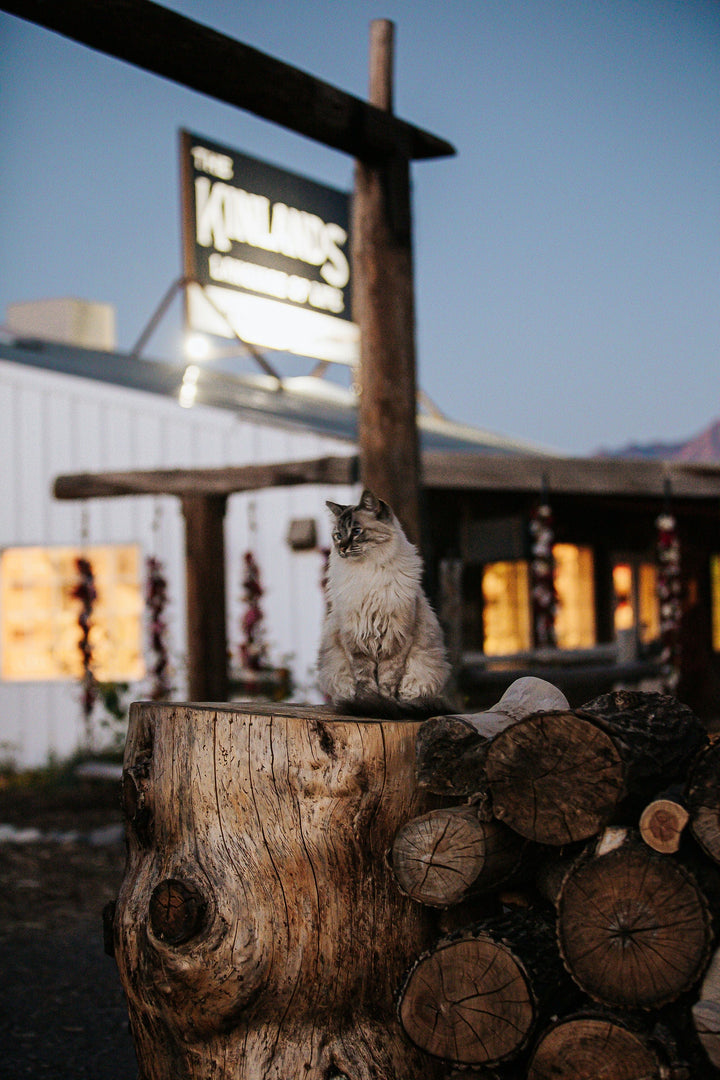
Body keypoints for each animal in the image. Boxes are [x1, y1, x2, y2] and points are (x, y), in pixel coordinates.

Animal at [317, 490, 451, 717]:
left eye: (356, 531)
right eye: (338, 535)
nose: (342, 548)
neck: (368, 572)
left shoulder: (397, 638)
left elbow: (388, 679)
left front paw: (383, 705)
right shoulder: (354, 638)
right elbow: (364, 678)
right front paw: (366, 703)